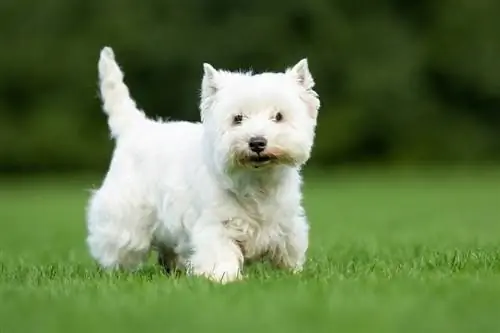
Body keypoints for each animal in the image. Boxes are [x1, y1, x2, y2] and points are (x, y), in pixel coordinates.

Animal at [85, 46, 320, 280]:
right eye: (237, 118)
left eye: (279, 116)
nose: (257, 142)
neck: (257, 182)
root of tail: (136, 127)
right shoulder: (217, 225)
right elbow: (221, 254)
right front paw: (224, 277)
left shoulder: (287, 224)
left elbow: (288, 250)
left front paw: (292, 273)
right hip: (124, 216)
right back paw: (115, 272)